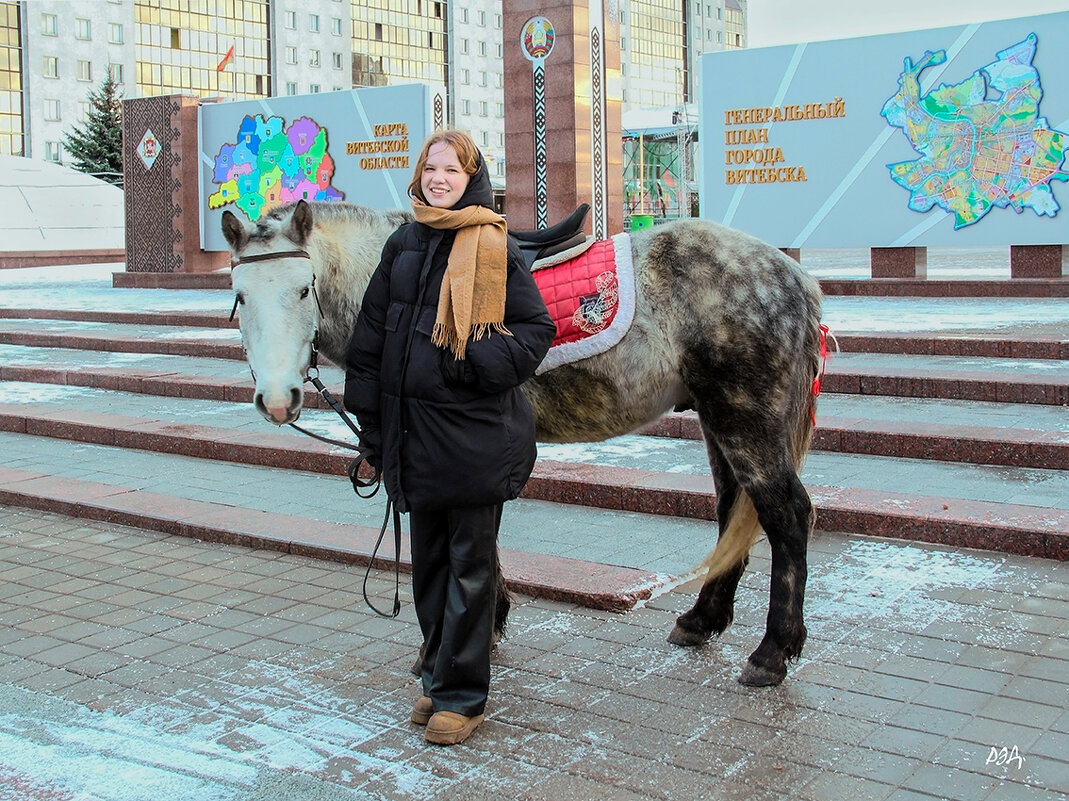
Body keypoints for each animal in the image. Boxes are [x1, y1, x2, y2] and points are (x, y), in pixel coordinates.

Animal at [223, 199, 825, 688]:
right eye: (240, 296)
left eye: (303, 289)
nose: (277, 400)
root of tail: (794, 275)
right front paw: (491, 622)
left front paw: (453, 644)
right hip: (717, 419)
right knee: (732, 511)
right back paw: (702, 620)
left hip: (744, 418)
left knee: (786, 514)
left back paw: (772, 653)